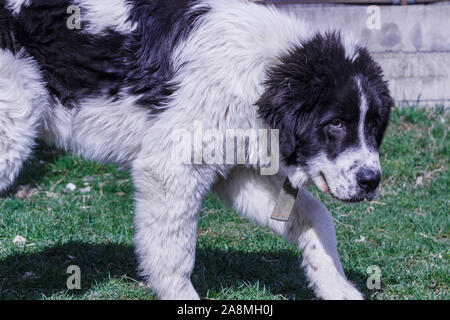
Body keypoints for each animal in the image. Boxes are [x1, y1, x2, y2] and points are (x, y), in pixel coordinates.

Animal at [0, 0, 392, 300]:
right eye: (335, 124)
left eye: (374, 126)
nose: (371, 181)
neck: (262, 75)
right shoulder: (171, 167)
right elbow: (175, 251)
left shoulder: (239, 170)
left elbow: (315, 217)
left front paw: (337, 288)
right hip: (12, 129)